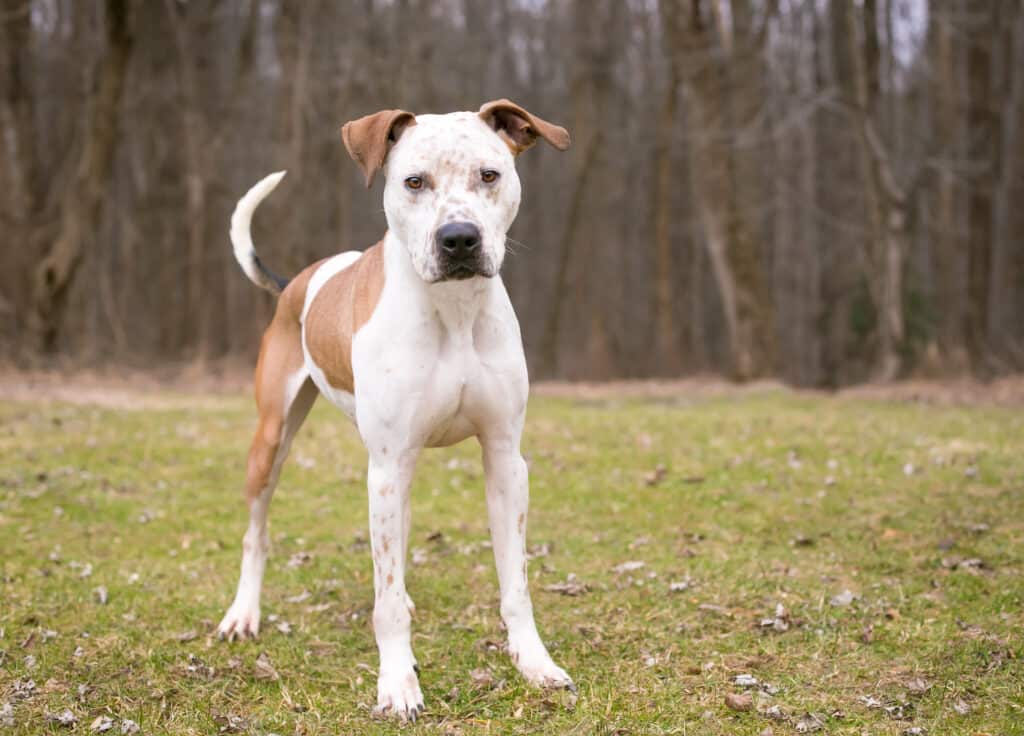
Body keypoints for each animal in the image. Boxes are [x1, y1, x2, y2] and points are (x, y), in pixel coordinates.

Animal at [219, 97, 577, 720]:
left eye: (490, 175)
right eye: (414, 181)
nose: (459, 238)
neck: (454, 310)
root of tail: (295, 284)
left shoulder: (505, 459)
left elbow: (515, 582)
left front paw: (534, 663)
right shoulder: (384, 469)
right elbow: (382, 600)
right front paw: (397, 683)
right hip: (273, 440)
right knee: (256, 532)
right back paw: (244, 613)